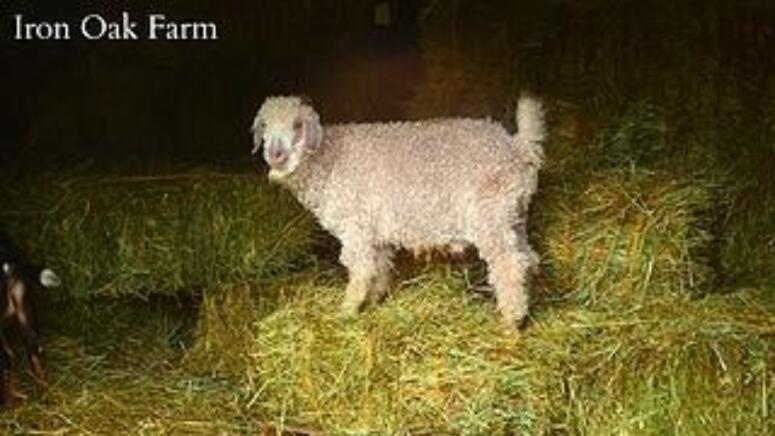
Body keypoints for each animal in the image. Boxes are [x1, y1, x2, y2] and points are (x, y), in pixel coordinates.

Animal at [252, 93, 544, 328]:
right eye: (264, 126)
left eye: (298, 125)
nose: (276, 155)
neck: (329, 159)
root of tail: (516, 146)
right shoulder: (375, 233)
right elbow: (379, 269)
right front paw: (374, 301)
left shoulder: (356, 228)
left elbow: (360, 271)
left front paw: (346, 312)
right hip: (513, 217)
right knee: (528, 257)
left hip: (490, 218)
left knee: (509, 265)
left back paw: (510, 323)